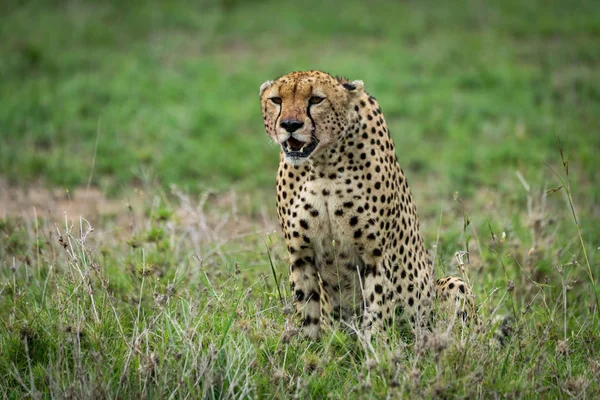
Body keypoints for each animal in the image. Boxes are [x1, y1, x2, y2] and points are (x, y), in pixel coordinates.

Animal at [260, 70, 476, 340]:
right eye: (276, 100)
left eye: (316, 100)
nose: (290, 125)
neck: (322, 164)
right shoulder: (301, 254)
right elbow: (307, 309)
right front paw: (310, 348)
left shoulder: (376, 256)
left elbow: (376, 309)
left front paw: (375, 348)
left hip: (449, 288)